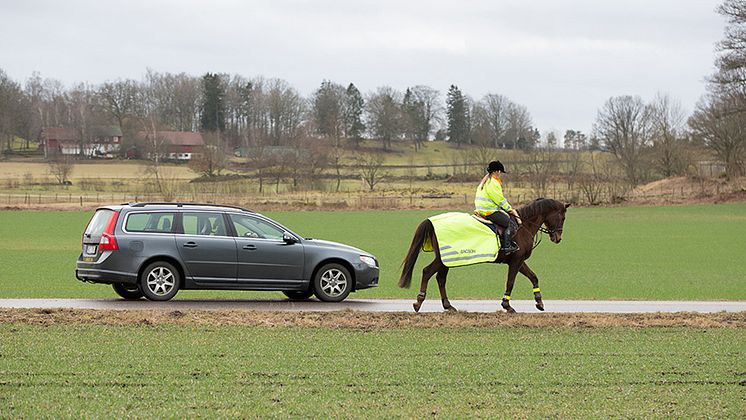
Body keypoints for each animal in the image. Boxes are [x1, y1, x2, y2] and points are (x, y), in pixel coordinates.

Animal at [398, 199, 568, 312]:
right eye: (563, 217)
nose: (558, 238)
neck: (523, 226)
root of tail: (431, 221)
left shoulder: (519, 261)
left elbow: (533, 277)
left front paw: (539, 302)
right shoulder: (516, 261)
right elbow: (510, 282)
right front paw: (507, 306)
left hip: (447, 260)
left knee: (440, 278)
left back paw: (448, 305)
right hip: (442, 259)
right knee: (427, 272)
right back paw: (418, 302)